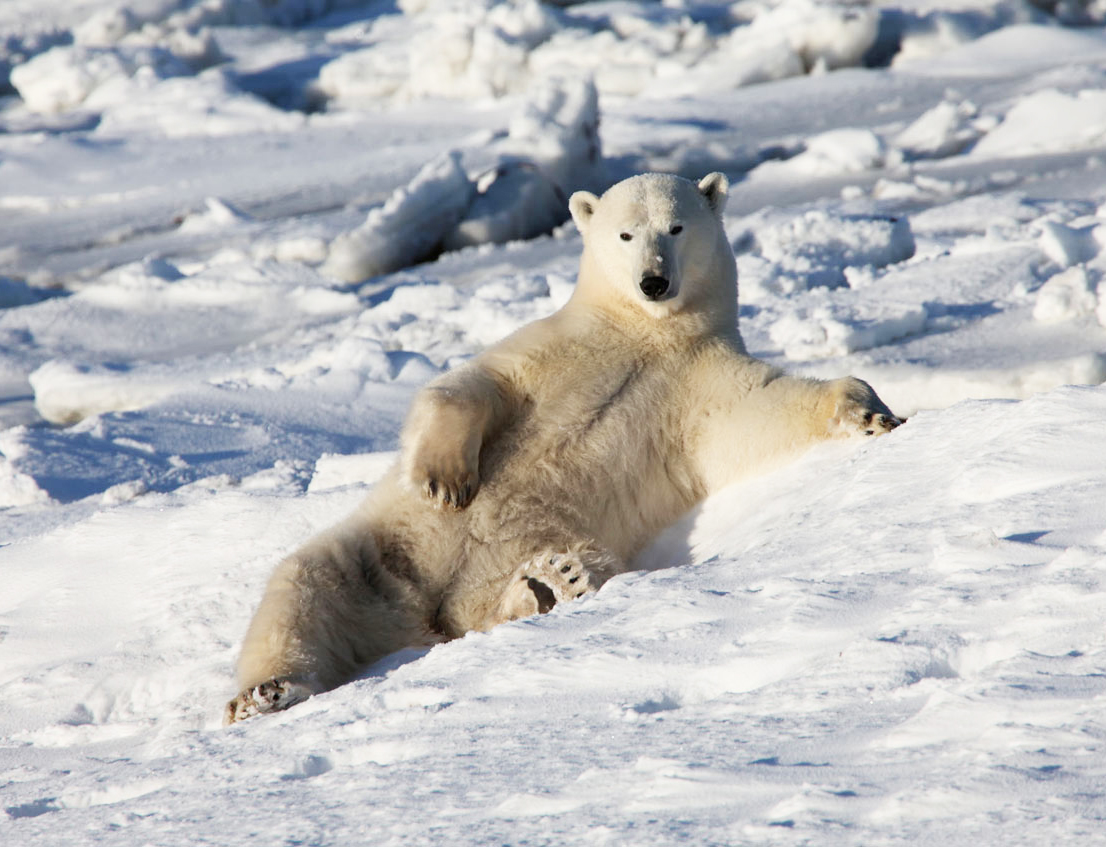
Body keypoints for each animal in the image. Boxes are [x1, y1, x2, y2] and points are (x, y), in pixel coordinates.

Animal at [222, 172, 898, 725]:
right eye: (625, 233)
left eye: (676, 226)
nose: (654, 281)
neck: (645, 333)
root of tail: (421, 616)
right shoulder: (558, 347)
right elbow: (471, 385)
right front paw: (445, 479)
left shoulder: (693, 382)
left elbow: (756, 411)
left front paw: (869, 412)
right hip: (388, 549)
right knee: (306, 587)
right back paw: (266, 692)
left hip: (533, 545)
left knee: (494, 598)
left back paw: (553, 583)